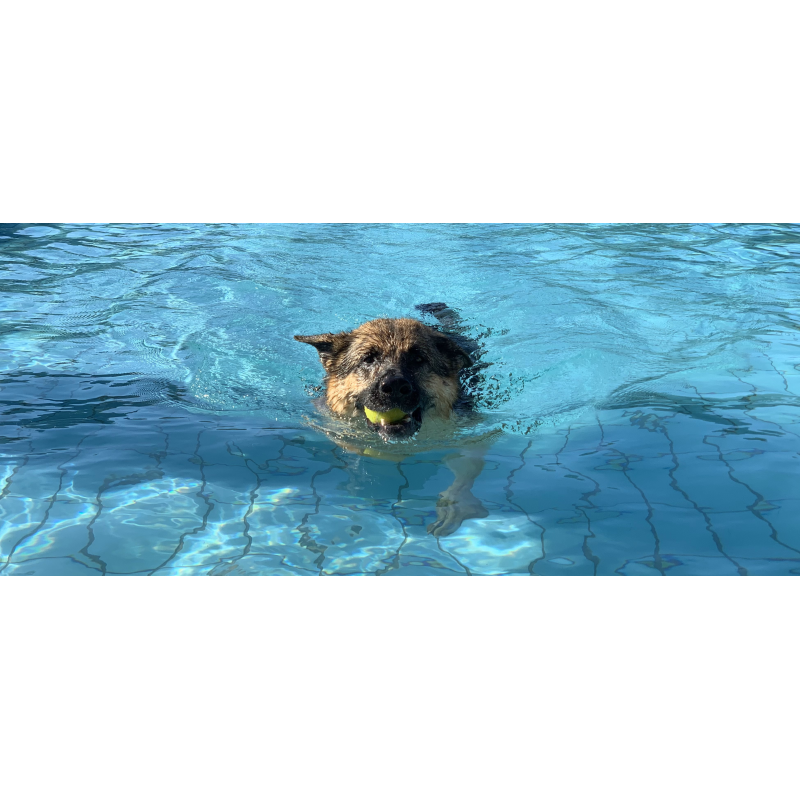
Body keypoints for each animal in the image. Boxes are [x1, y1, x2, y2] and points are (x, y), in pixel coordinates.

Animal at [296, 302, 490, 536]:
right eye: (369, 359)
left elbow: (469, 463)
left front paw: (456, 502)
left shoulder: (470, 431)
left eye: (418, 359)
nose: (395, 386)